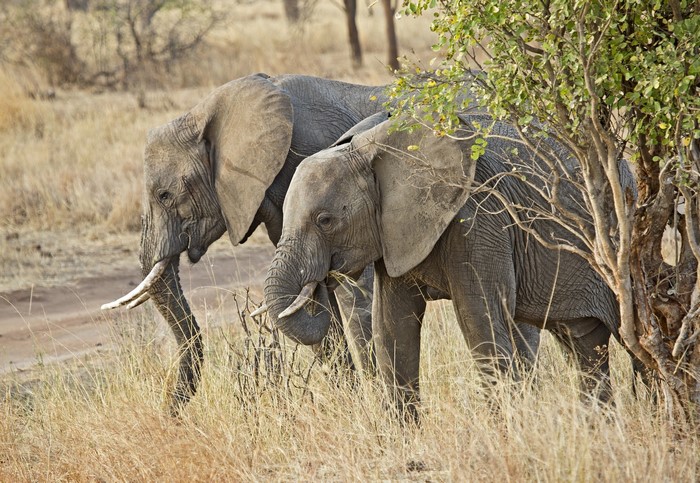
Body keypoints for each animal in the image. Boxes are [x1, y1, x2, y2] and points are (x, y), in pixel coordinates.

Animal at [102, 73, 390, 415]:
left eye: (164, 196)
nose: (169, 414)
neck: (204, 114)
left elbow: (352, 293)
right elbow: (306, 301)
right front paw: (349, 405)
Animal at [263, 112, 642, 420]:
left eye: (325, 220)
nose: (318, 282)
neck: (371, 147)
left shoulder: (480, 219)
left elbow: (480, 321)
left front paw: (504, 436)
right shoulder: (395, 234)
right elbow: (392, 327)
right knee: (584, 347)